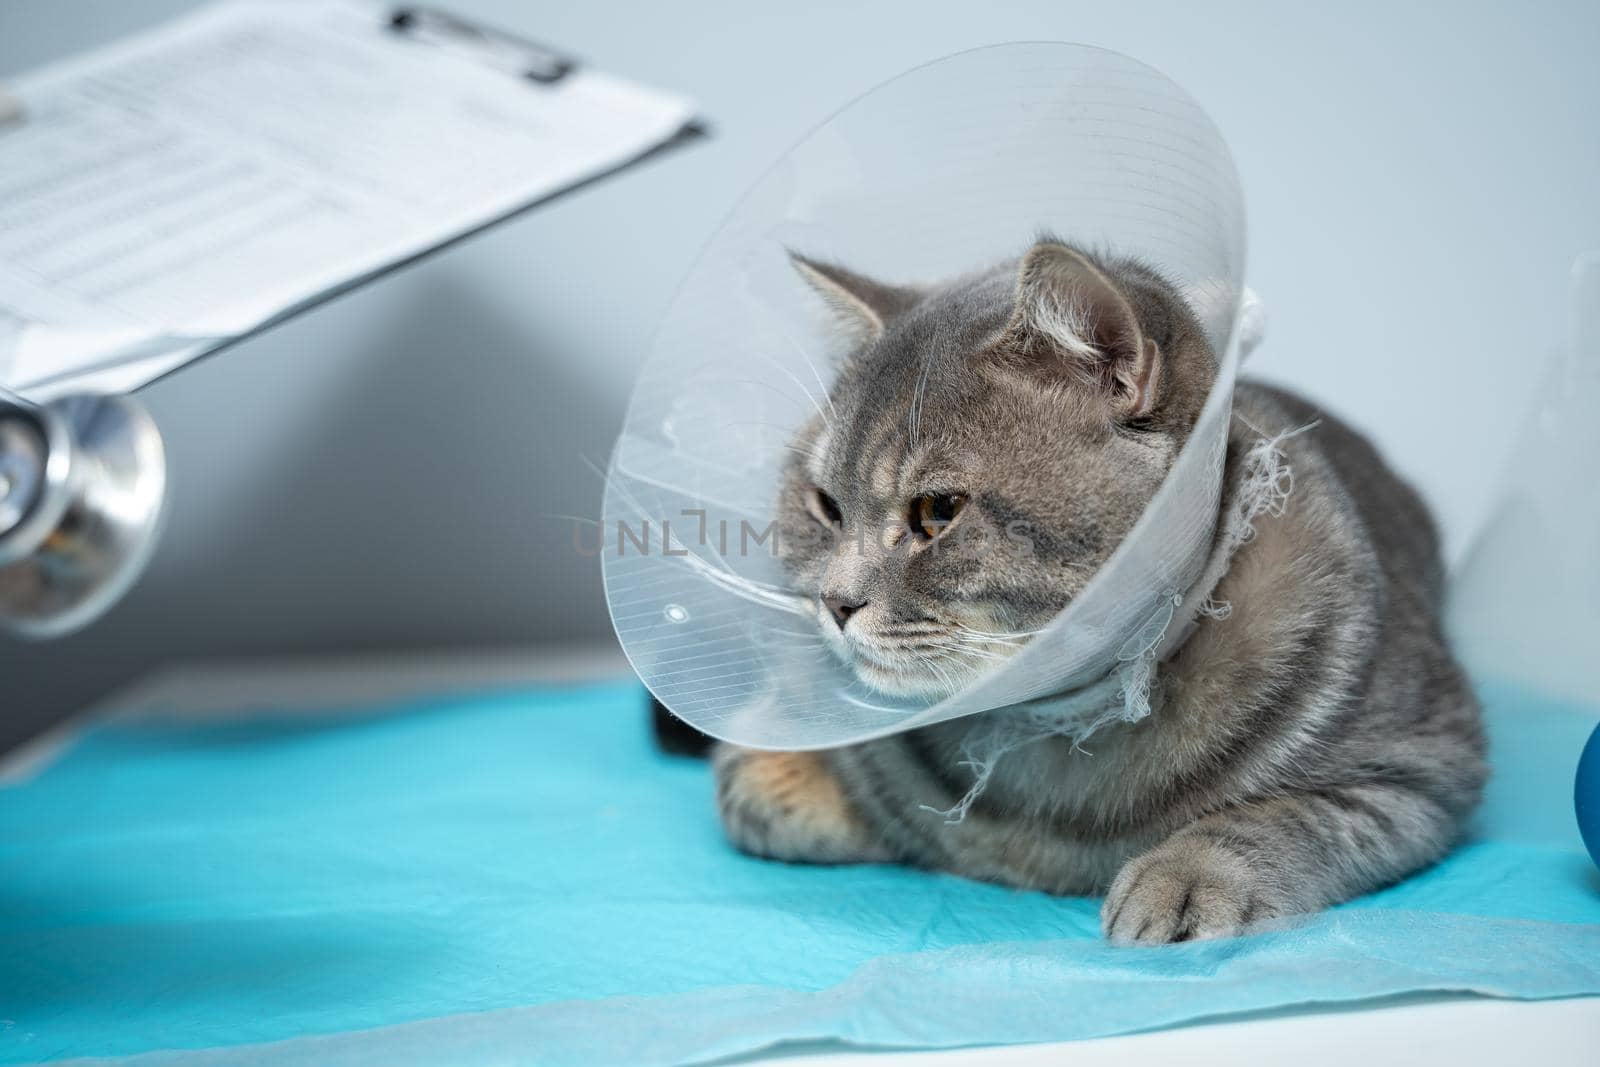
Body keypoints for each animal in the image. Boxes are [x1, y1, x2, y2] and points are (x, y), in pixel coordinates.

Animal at [713, 239, 1484, 940]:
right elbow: (758, 793)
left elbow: (1291, 815)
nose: (834, 603)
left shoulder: (1425, 765)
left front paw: (1190, 872)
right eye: (825, 507)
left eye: (938, 511)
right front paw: (793, 775)